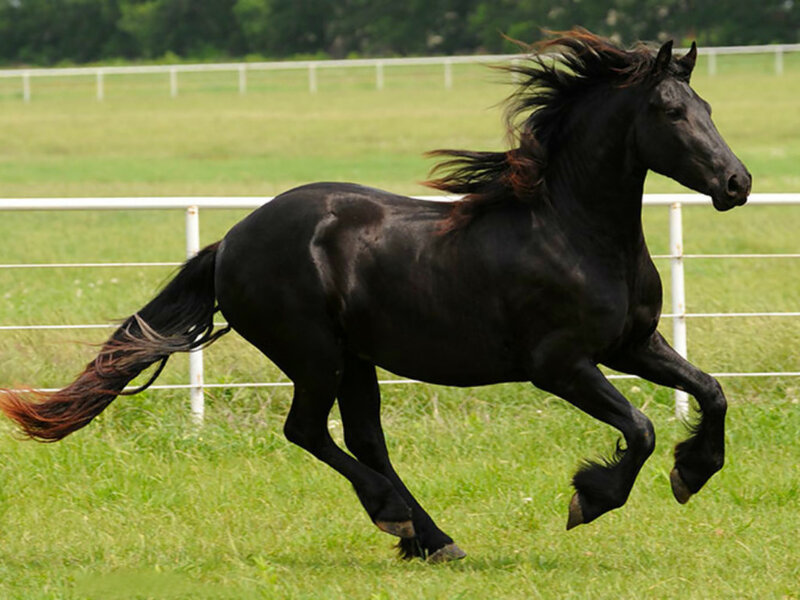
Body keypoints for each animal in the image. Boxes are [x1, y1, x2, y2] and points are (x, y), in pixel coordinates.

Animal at [0, 30, 751, 563]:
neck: (572, 230)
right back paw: (396, 517)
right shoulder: (560, 365)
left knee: (365, 439)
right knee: (309, 432)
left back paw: (431, 539)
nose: (737, 183)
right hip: (314, 354)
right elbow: (641, 428)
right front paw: (591, 499)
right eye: (669, 110)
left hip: (355, 358)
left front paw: (694, 471)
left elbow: (711, 392)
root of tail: (233, 241)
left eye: (710, 107)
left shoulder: (632, 344)